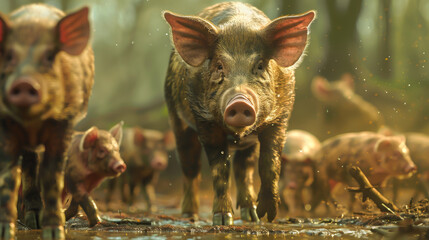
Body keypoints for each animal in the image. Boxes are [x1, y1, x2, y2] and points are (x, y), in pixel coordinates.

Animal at [0, 4, 93, 240]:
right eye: (9, 55)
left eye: (50, 56)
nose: (24, 82)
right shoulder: (6, 124)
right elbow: (9, 178)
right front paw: (5, 232)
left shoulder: (64, 123)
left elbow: (52, 177)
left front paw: (55, 232)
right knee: (30, 164)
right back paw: (31, 218)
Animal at [163, 0, 314, 224]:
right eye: (219, 66)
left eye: (259, 65)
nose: (240, 101)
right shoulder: (205, 121)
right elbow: (220, 169)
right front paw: (223, 220)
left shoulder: (280, 117)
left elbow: (270, 163)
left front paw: (268, 216)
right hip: (177, 119)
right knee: (191, 168)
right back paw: (190, 216)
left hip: (248, 144)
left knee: (244, 168)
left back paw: (251, 216)